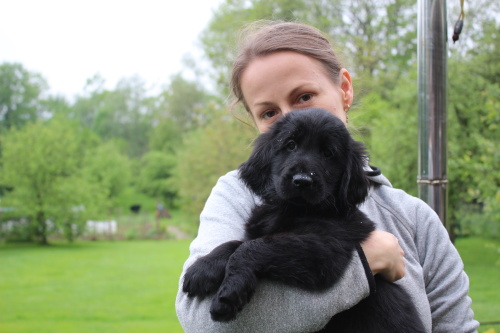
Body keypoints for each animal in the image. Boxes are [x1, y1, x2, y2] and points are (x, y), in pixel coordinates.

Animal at [184, 107, 426, 330]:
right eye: (290, 145)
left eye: (328, 153)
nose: (302, 180)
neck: (293, 209)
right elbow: (236, 243)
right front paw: (203, 268)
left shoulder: (326, 250)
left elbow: (254, 247)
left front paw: (229, 295)